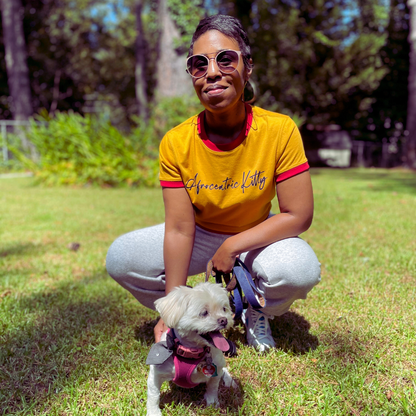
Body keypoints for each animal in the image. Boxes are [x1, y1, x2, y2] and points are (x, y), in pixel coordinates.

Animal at [146, 282, 237, 414]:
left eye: (224, 309)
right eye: (204, 312)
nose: (224, 320)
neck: (191, 352)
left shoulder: (216, 370)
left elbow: (212, 387)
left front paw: (212, 402)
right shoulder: (156, 374)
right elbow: (153, 395)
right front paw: (153, 412)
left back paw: (230, 381)